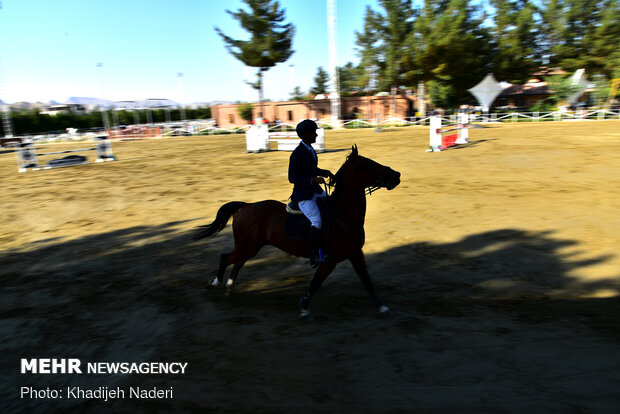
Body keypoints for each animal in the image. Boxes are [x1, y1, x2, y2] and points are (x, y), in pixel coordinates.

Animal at [191, 146, 400, 320]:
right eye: (368, 164)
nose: (396, 175)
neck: (343, 216)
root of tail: (246, 206)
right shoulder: (329, 260)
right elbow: (316, 283)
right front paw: (304, 308)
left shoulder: (355, 253)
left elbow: (367, 280)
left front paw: (382, 307)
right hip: (247, 246)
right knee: (226, 258)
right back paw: (217, 283)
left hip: (252, 247)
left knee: (237, 263)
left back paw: (229, 287)